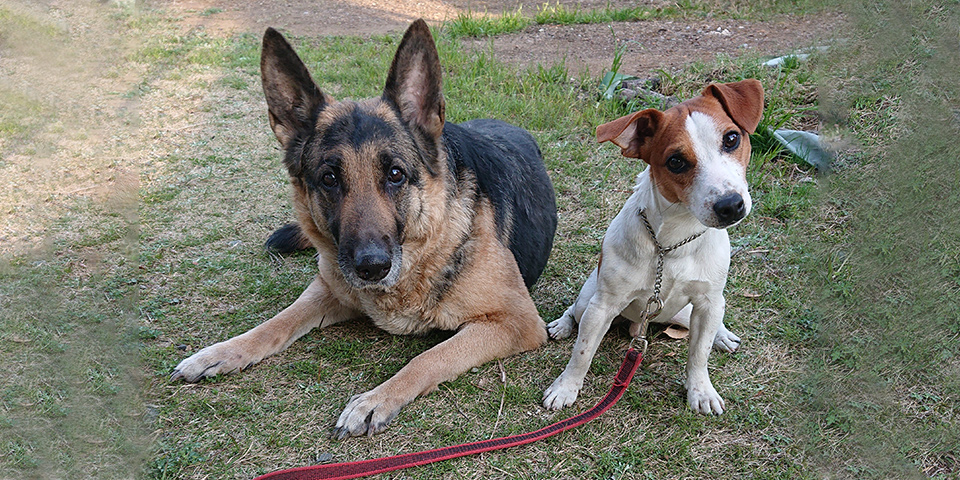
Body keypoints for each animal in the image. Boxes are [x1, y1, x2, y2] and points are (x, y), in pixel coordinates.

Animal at [172, 18, 556, 438]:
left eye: (395, 174)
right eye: (329, 179)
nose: (371, 267)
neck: (425, 248)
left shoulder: (517, 321)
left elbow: (432, 356)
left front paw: (376, 399)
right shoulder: (328, 289)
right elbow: (277, 322)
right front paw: (222, 352)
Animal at [544, 79, 760, 416]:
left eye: (731, 138)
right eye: (676, 161)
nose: (730, 205)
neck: (672, 245)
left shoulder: (708, 302)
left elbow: (699, 354)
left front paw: (701, 391)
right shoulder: (601, 308)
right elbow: (582, 353)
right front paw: (565, 388)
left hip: (686, 311)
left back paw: (722, 336)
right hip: (588, 301)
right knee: (574, 311)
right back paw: (562, 325)